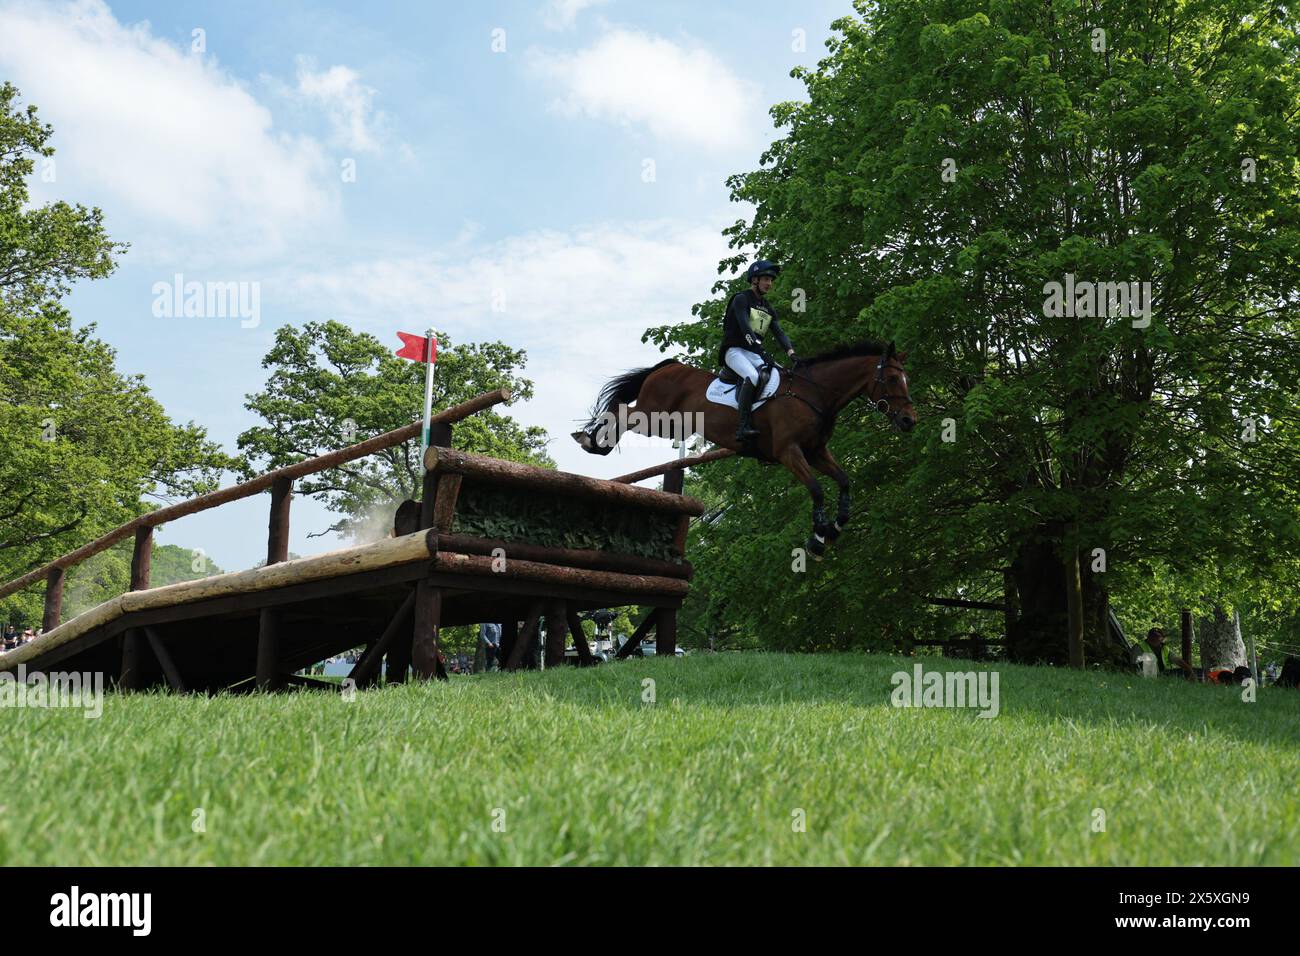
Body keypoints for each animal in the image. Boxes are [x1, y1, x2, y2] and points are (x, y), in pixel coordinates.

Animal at [574, 340, 920, 556]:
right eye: (892, 379)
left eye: (906, 379)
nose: (909, 420)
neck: (813, 394)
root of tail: (669, 366)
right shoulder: (789, 452)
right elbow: (817, 489)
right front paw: (818, 538)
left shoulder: (816, 453)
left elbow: (845, 481)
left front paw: (834, 528)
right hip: (654, 417)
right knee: (622, 410)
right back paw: (591, 441)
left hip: (671, 425)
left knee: (623, 409)